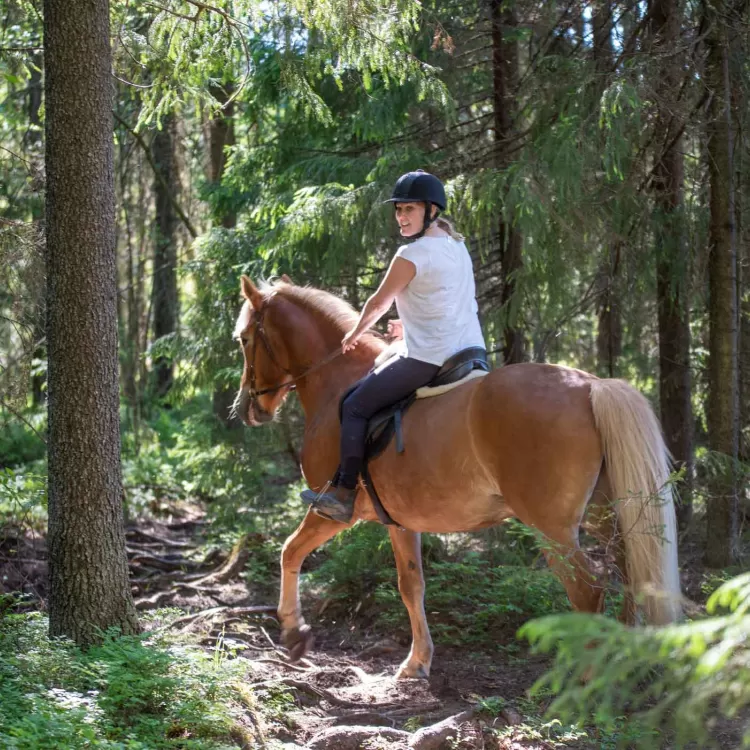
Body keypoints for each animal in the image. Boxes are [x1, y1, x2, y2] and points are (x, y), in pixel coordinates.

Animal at [234, 278, 680, 680]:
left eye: (244, 339)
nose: (249, 408)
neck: (336, 381)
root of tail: (591, 386)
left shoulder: (331, 511)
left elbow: (290, 552)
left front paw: (294, 633)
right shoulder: (401, 521)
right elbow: (411, 585)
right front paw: (418, 662)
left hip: (552, 528)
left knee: (587, 589)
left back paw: (587, 677)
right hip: (605, 514)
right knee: (629, 571)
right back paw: (624, 658)